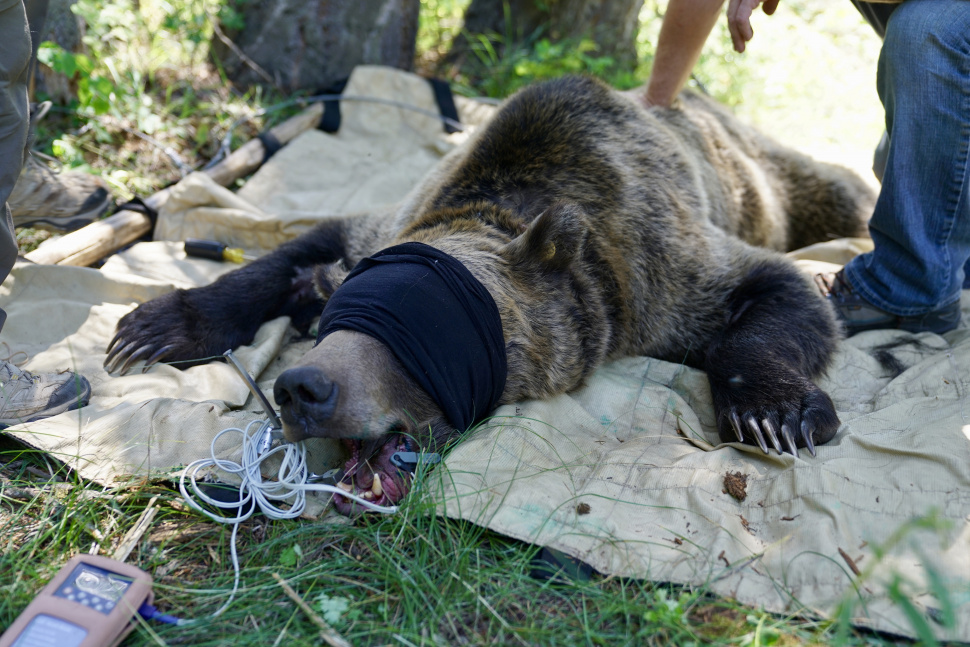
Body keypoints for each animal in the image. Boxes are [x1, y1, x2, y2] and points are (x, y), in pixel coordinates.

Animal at [105, 76, 875, 515]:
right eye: (339, 323)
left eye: (411, 334)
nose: (303, 387)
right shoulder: (391, 220)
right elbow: (295, 252)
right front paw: (153, 328)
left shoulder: (656, 269)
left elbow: (775, 291)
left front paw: (774, 413)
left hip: (771, 173)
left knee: (841, 192)